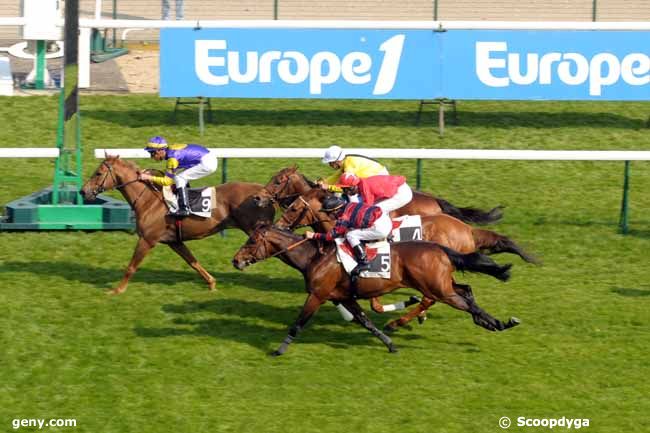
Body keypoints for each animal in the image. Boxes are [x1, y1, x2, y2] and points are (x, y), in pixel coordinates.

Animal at [80, 155, 274, 294]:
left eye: (98, 173)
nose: (83, 191)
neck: (150, 201)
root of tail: (266, 192)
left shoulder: (147, 239)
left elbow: (131, 266)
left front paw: (117, 290)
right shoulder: (174, 241)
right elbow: (193, 262)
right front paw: (211, 283)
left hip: (255, 230)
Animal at [230, 226, 520, 354]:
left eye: (252, 241)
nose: (235, 260)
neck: (314, 257)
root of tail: (440, 248)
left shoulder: (318, 295)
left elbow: (298, 323)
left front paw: (279, 349)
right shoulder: (343, 297)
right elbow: (366, 321)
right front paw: (390, 344)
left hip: (439, 289)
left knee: (465, 301)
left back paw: (499, 323)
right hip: (440, 284)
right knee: (466, 290)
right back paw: (488, 321)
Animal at [276, 187, 536, 330]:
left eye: (293, 208)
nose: (279, 224)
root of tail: (466, 230)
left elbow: (373, 302)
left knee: (433, 297)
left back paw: (400, 322)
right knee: (457, 291)